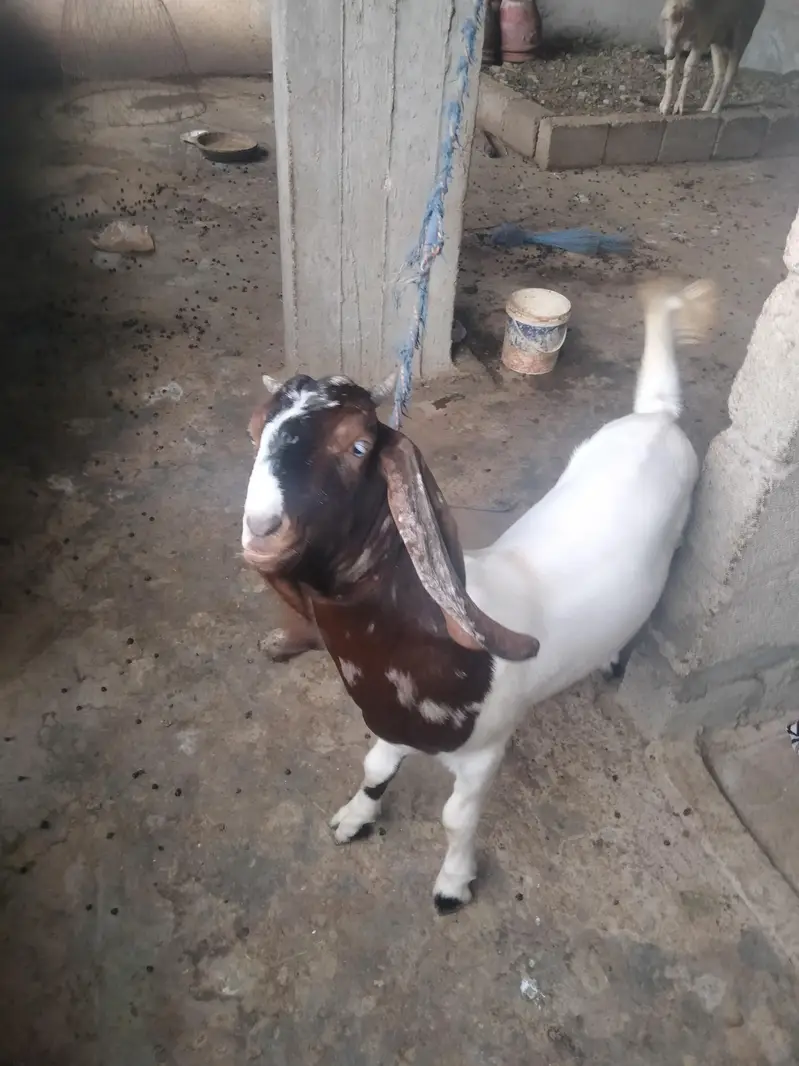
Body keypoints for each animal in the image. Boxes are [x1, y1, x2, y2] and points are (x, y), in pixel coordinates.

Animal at [240, 279, 716, 914]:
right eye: (254, 431)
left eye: (359, 446)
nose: (262, 528)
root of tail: (657, 416)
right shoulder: (391, 725)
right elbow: (374, 767)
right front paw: (355, 817)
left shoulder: (485, 751)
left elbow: (456, 818)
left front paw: (453, 883)